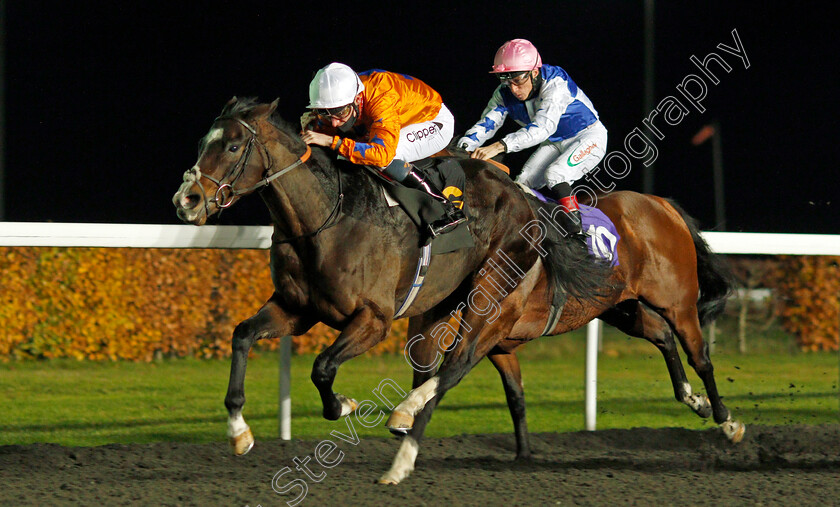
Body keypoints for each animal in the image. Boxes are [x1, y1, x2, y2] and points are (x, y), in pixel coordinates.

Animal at [171, 97, 612, 454]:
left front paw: (343, 405)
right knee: (432, 358)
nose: (186, 200)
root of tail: (522, 194)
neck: (325, 217)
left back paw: (407, 408)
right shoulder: (296, 309)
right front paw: (239, 432)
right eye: (202, 143)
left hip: (491, 292)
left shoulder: (374, 318)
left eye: (232, 146)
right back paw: (407, 415)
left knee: (460, 358)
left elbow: (323, 367)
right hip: (439, 300)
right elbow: (242, 335)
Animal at [378, 190, 740, 484]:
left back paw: (727, 420)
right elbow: (514, 396)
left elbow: (445, 379)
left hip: (677, 302)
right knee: (663, 335)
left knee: (700, 357)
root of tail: (662, 205)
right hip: (620, 307)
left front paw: (404, 445)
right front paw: (524, 455)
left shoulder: (487, 332)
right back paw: (695, 400)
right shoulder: (497, 344)